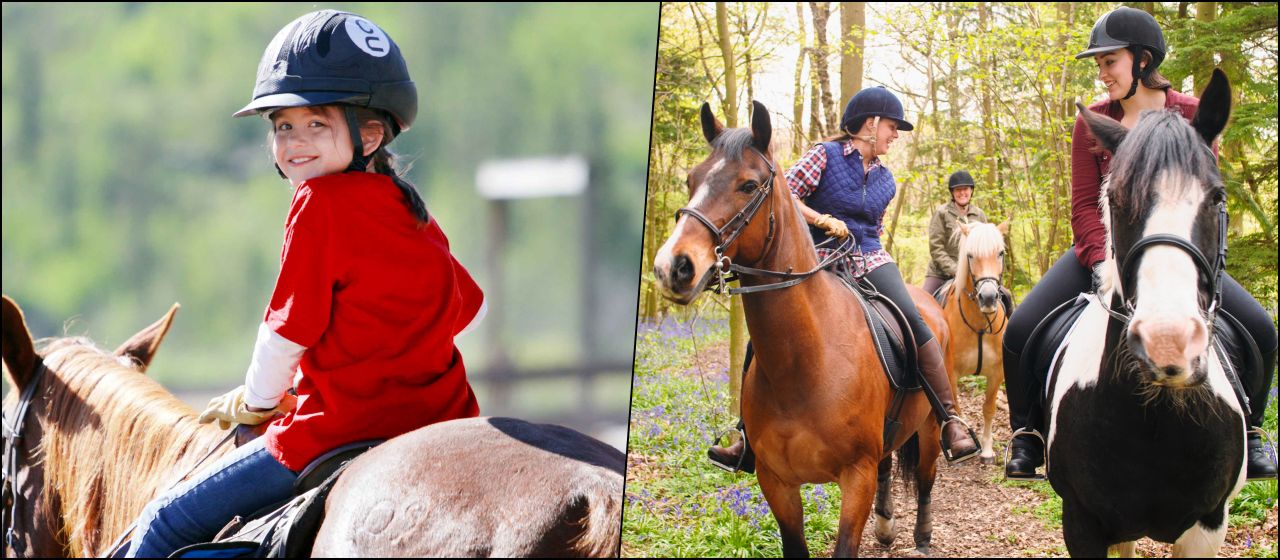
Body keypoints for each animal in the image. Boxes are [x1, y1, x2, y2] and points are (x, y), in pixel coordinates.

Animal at [652, 100, 956, 557]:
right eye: (691, 180)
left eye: (748, 185)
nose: (673, 266)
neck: (807, 361)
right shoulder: (776, 481)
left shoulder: (856, 477)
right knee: (889, 463)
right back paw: (886, 526)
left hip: (931, 429)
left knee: (925, 478)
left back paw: (922, 536)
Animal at [936, 220, 1010, 465]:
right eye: (970, 255)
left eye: (1000, 253)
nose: (987, 298)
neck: (979, 324)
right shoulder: (951, 373)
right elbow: (957, 408)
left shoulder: (997, 372)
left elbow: (988, 409)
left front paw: (987, 450)